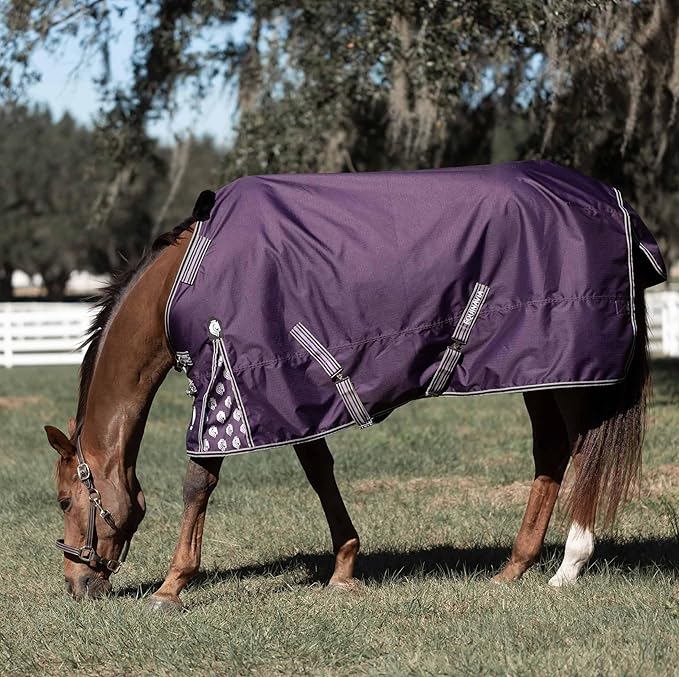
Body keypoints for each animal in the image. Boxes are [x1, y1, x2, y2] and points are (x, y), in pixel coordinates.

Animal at [45, 161, 666, 607]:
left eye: (63, 499)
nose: (77, 586)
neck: (183, 281)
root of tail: (615, 205)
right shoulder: (288, 392)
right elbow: (319, 470)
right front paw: (344, 567)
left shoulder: (225, 385)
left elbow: (199, 483)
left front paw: (172, 586)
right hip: (542, 373)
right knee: (553, 453)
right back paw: (514, 567)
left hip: (566, 374)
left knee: (580, 452)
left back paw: (569, 565)